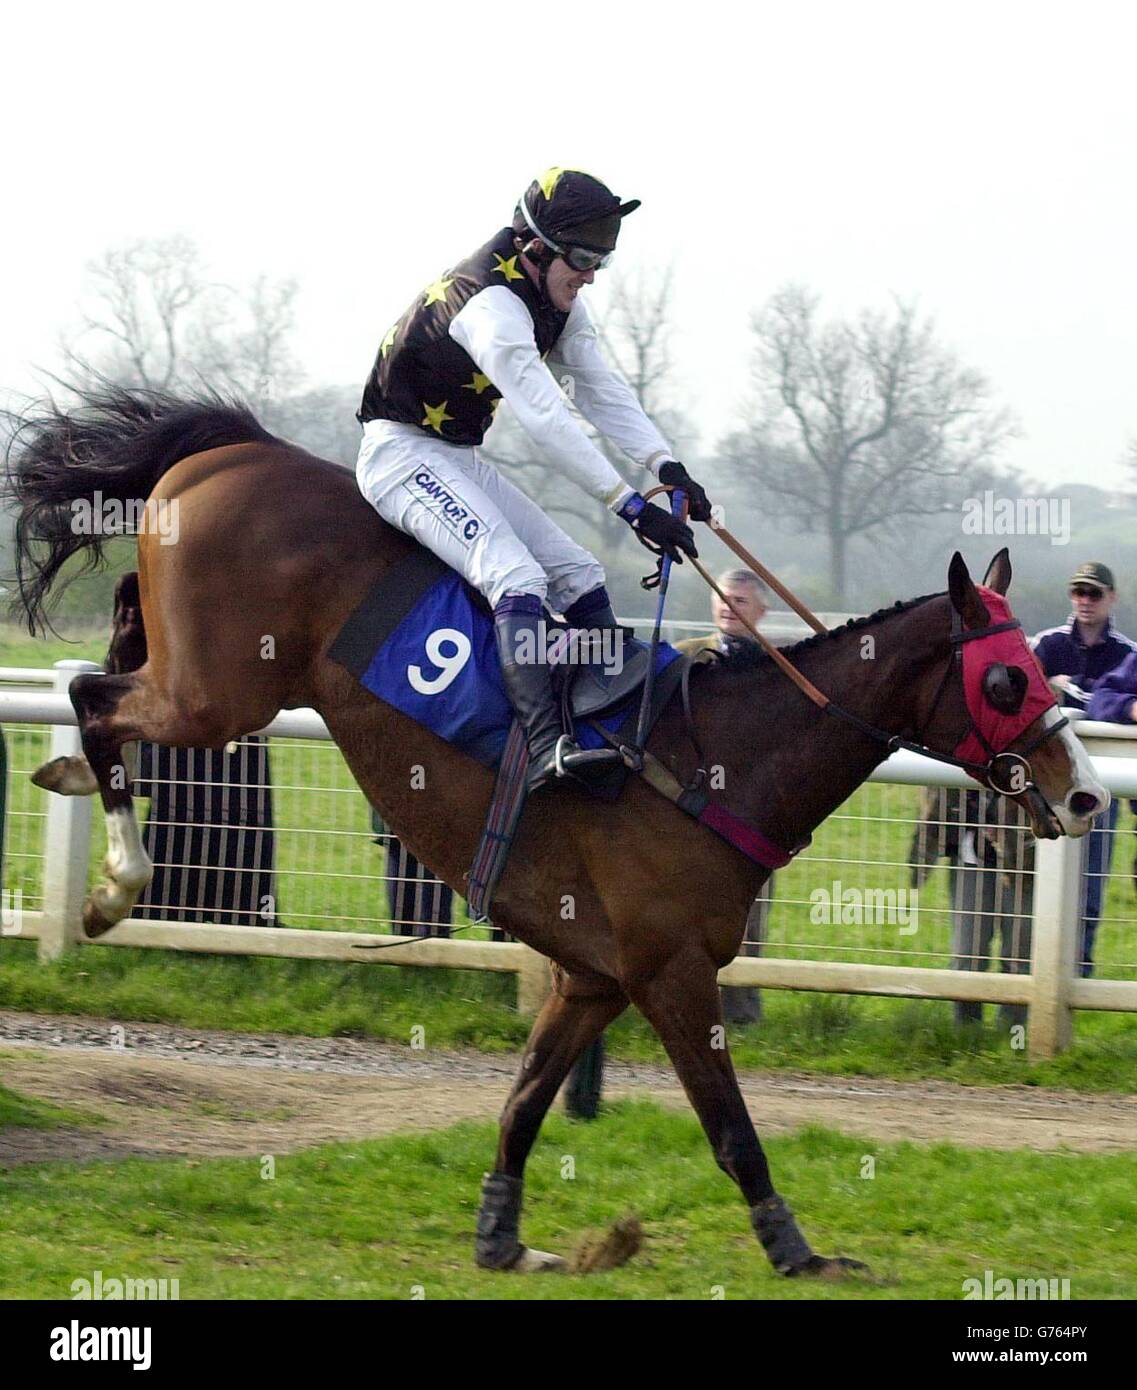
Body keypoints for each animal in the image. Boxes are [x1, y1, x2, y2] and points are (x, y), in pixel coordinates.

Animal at [4, 386, 1100, 1273]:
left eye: (1039, 670)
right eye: (1008, 680)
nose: (1086, 793)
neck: (712, 758)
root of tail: (234, 448)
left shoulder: (593, 976)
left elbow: (525, 1100)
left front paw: (502, 1234)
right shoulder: (669, 971)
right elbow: (730, 1127)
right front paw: (798, 1251)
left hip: (209, 677)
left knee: (111, 661)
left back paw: (77, 786)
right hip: (220, 691)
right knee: (95, 696)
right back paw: (113, 879)